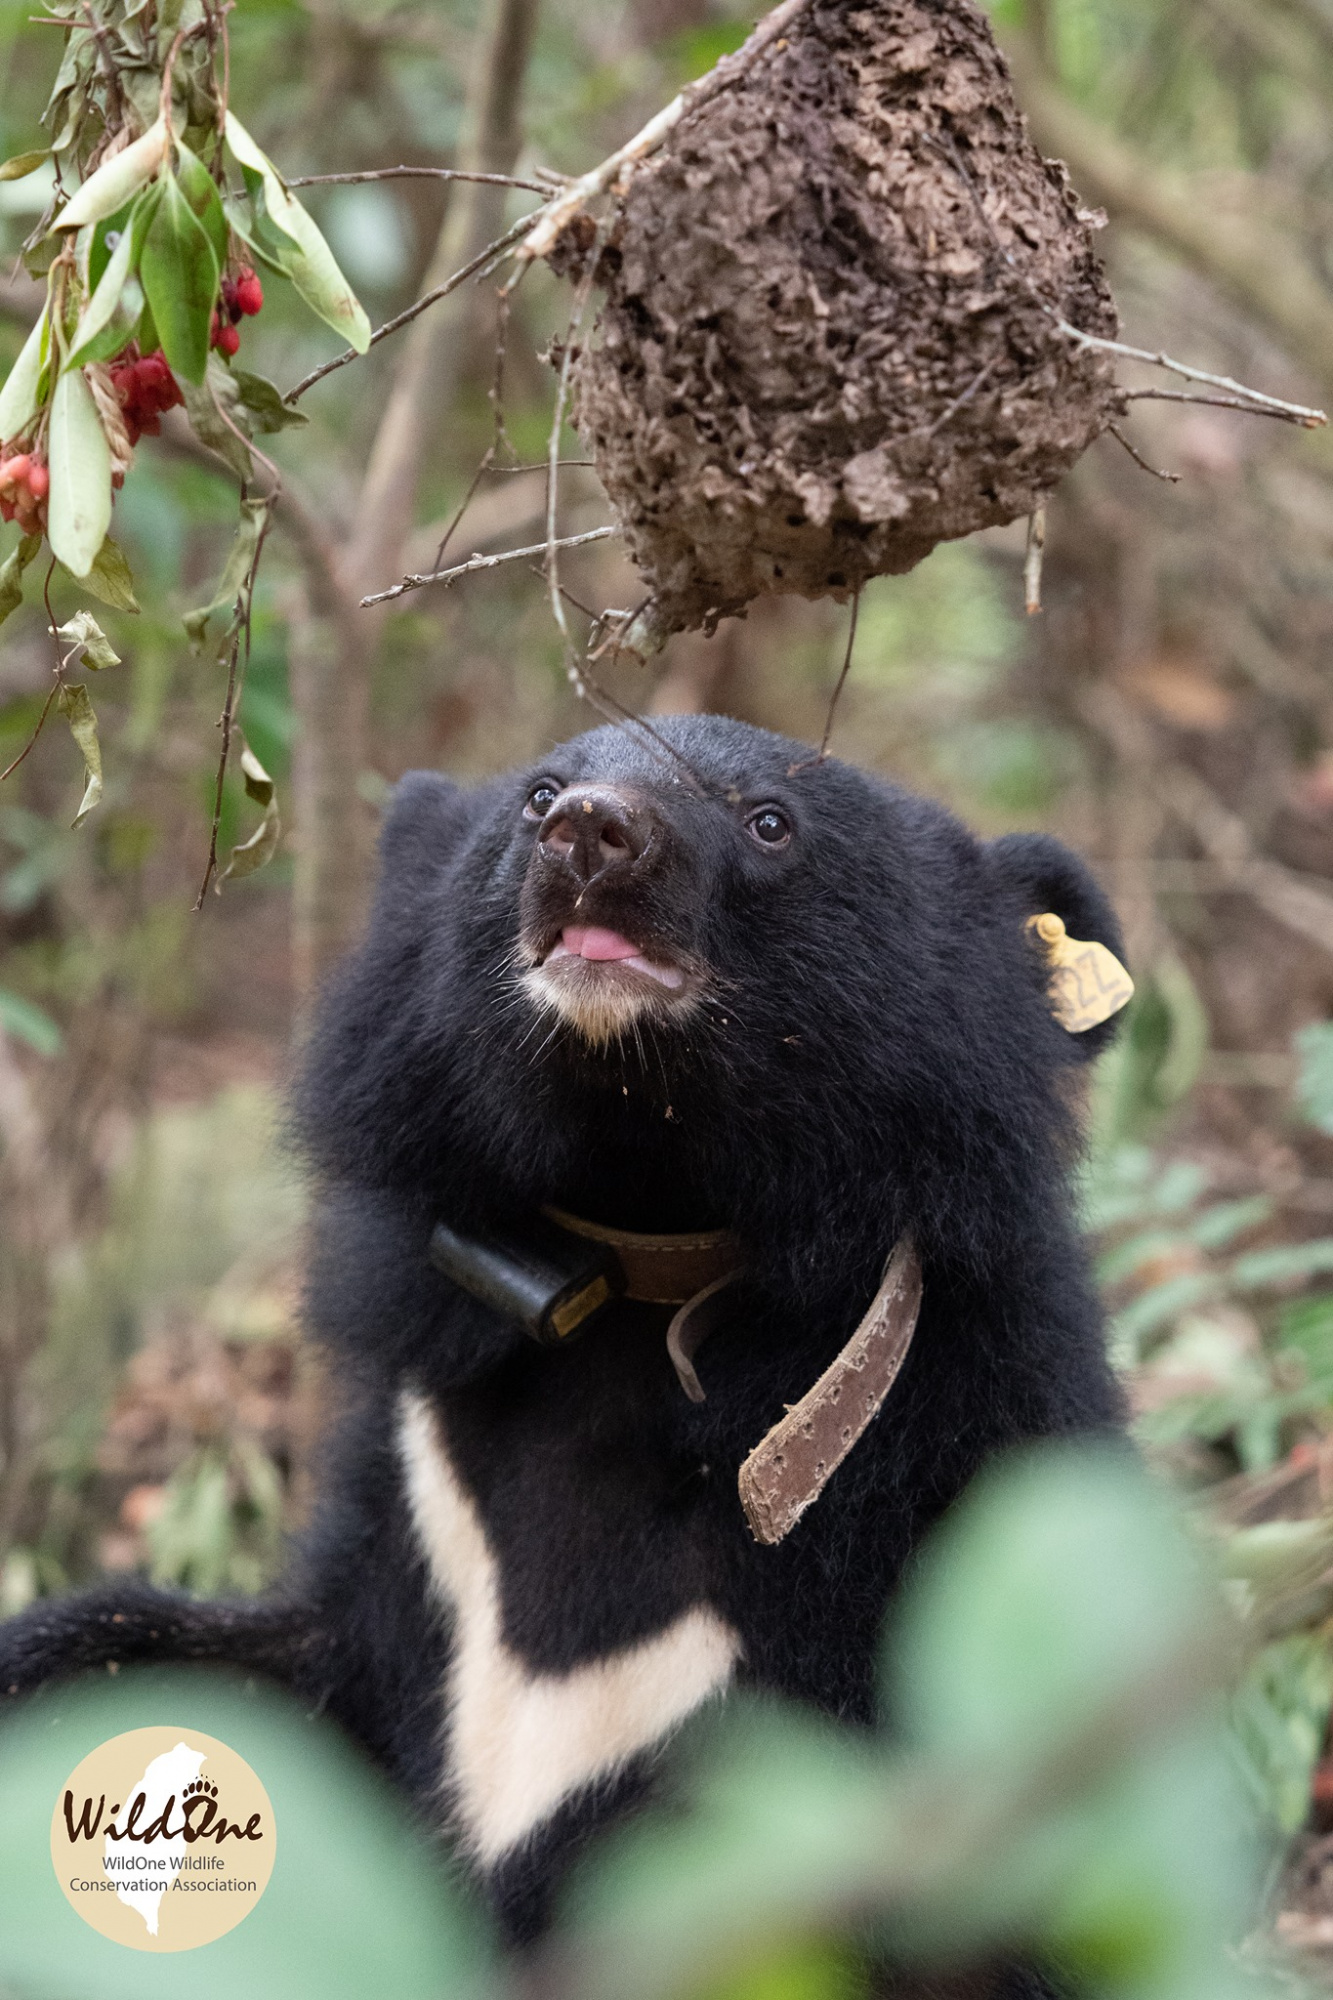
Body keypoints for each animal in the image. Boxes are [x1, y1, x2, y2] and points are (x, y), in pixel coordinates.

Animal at [0, 724, 1120, 1952]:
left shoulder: (917, 1503)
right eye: (539, 791)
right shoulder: (422, 1495)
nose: (592, 828)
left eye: (770, 820)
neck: (642, 1225)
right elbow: (190, 1667)